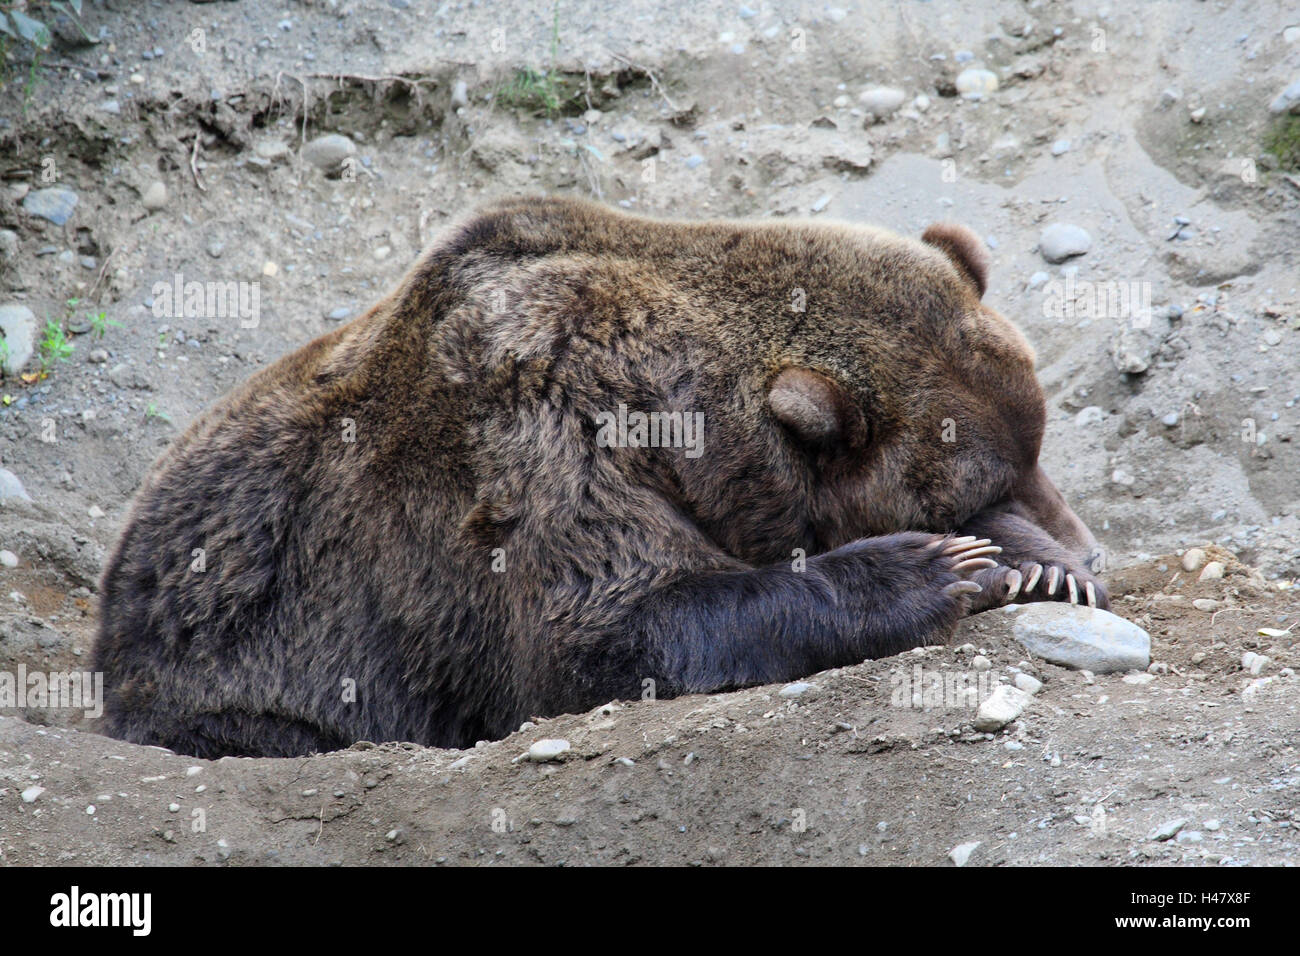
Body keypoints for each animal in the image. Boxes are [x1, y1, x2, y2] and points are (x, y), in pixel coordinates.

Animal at [92, 196, 1107, 758]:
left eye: (1038, 444)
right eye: (976, 486)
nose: (1086, 554)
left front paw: (1039, 568)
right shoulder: (546, 432)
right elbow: (608, 622)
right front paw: (933, 567)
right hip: (236, 661)